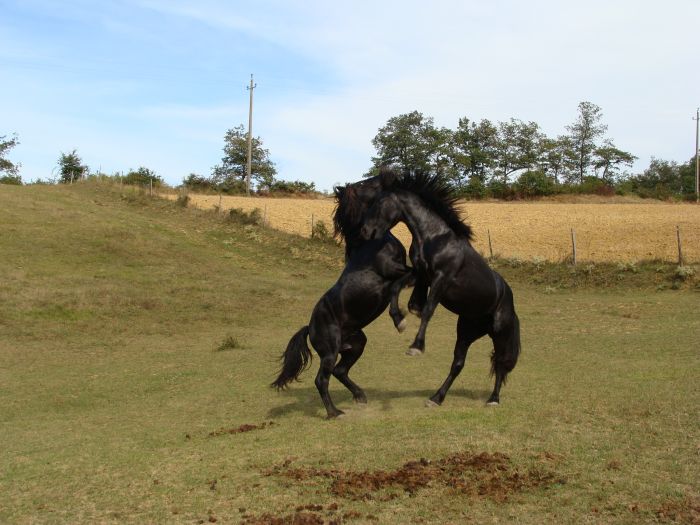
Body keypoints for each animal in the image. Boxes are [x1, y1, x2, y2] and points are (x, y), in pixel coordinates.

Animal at [272, 176, 416, 418]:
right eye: (366, 184)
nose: (386, 176)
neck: (370, 244)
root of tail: (309, 327)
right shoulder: (393, 271)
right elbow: (410, 277)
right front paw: (400, 319)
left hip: (356, 344)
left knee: (339, 371)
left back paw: (360, 396)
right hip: (330, 352)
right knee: (322, 379)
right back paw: (334, 413)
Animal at [360, 170, 520, 404]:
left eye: (380, 202)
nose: (365, 231)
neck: (434, 238)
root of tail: (509, 302)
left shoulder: (440, 279)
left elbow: (427, 310)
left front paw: (416, 347)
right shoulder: (420, 274)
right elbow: (398, 290)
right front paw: (399, 321)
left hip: (500, 334)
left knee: (500, 363)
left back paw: (493, 399)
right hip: (466, 333)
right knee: (458, 364)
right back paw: (436, 398)